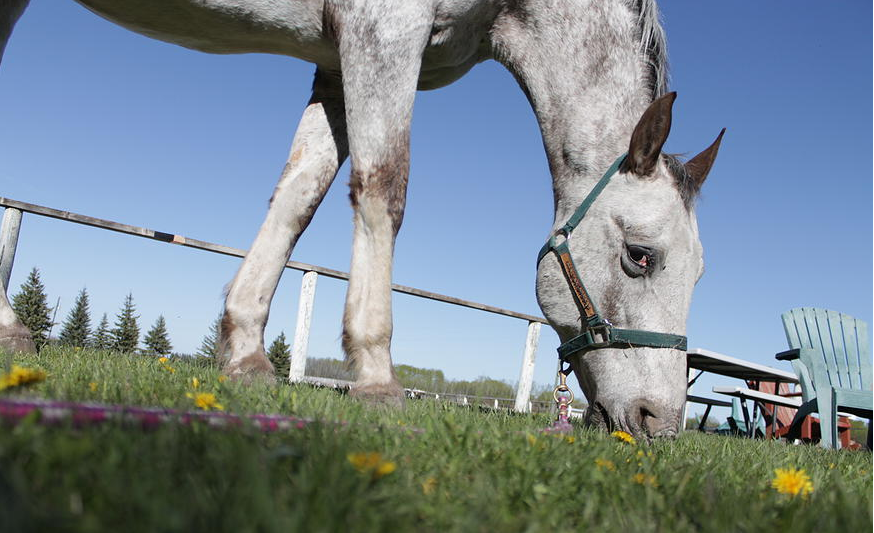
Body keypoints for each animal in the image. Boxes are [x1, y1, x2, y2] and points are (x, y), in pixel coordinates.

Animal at [0, 0, 724, 436]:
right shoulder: (383, 30)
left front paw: (245, 350)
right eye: (640, 256)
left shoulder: (333, 61)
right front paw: (376, 374)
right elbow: (384, 188)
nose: (659, 421)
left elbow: (300, 194)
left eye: (699, 275)